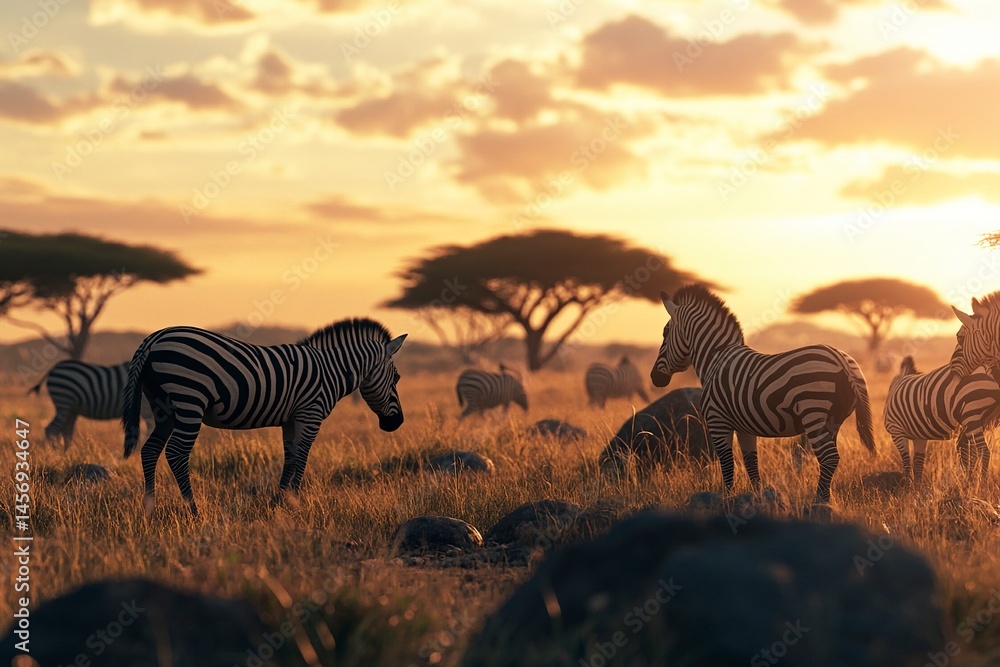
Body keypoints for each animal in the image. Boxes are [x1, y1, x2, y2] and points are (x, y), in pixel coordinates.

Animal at [122, 318, 406, 517]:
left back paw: (150, 510)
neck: (331, 369)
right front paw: (296, 502)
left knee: (150, 450)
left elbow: (290, 457)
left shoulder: (291, 418)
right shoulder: (310, 413)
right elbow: (302, 456)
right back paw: (193, 511)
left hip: (164, 408)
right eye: (397, 378)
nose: (397, 423)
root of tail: (153, 339)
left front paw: (279, 503)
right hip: (190, 399)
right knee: (176, 453)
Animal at [651, 285, 875, 504]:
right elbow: (751, 464)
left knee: (829, 457)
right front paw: (757, 498)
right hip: (833, 420)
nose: (655, 377)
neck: (716, 359)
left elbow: (727, 464)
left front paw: (727, 500)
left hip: (813, 411)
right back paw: (825, 499)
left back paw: (820, 501)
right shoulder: (744, 427)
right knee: (829, 458)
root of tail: (841, 359)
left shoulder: (717, 421)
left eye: (665, 333)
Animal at [884, 352, 1000, 483]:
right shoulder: (919, 436)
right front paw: (917, 487)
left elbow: (906, 461)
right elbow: (918, 463)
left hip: (971, 412)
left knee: (983, 451)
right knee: (969, 449)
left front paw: (906, 484)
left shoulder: (896, 430)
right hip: (983, 419)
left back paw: (981, 483)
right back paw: (972, 481)